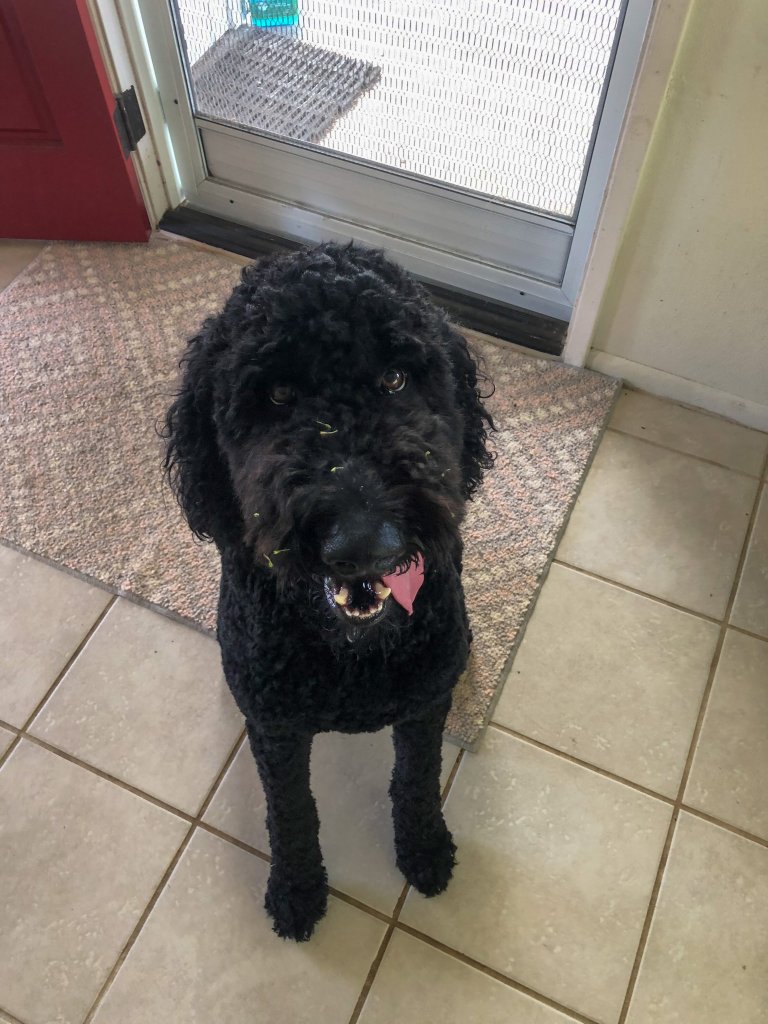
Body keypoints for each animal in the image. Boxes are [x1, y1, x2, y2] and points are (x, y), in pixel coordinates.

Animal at [165, 237, 495, 937]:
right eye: (277, 394)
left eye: (396, 379)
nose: (363, 541)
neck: (350, 653)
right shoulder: (276, 729)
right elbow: (291, 809)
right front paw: (296, 887)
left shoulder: (424, 706)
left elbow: (417, 778)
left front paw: (424, 846)